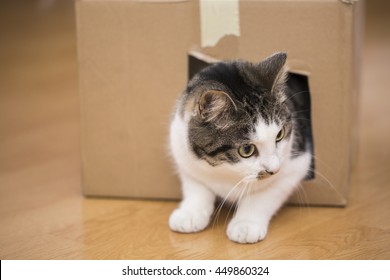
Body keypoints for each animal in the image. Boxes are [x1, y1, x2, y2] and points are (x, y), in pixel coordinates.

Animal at [168, 52, 310, 243]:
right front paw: (190, 214)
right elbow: (196, 185)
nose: (274, 170)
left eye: (279, 135)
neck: (226, 171)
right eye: (246, 150)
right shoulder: (182, 153)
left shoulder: (296, 164)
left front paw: (246, 225)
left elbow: (265, 193)